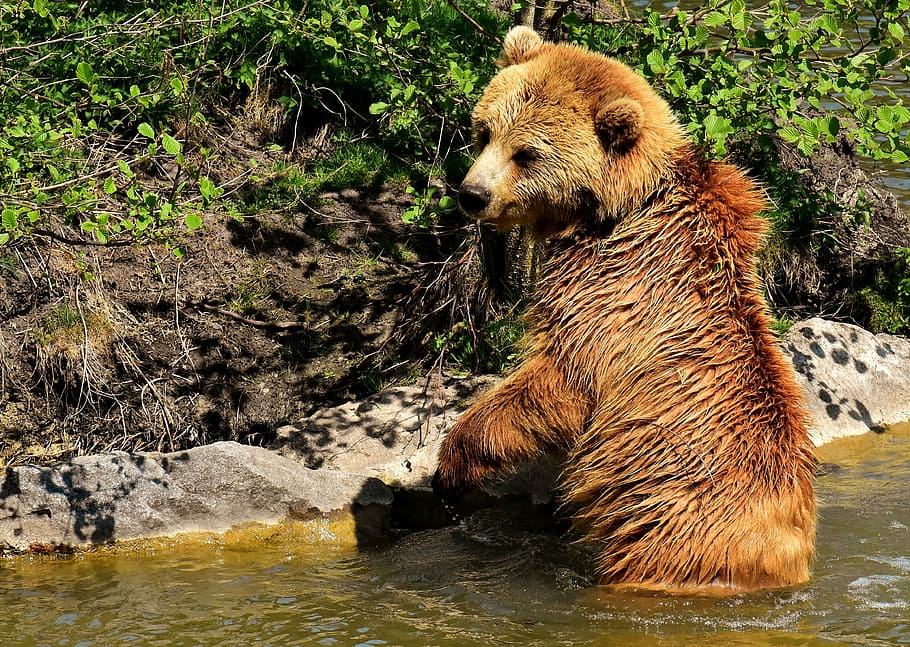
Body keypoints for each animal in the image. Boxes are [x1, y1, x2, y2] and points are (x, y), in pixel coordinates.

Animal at [434, 25, 820, 596]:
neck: (618, 205)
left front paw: (453, 462)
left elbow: (558, 381)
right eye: (484, 132)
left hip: (663, 532)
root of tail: (781, 555)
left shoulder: (609, 294)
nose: (472, 194)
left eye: (526, 153)